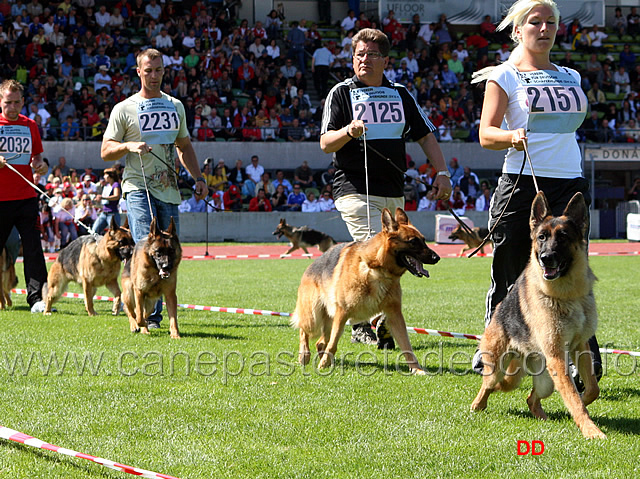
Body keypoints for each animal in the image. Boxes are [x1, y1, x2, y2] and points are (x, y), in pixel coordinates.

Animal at [292, 208, 438, 374]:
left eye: (424, 240)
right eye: (413, 241)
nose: (437, 257)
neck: (377, 269)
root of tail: (311, 265)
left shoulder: (395, 315)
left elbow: (406, 345)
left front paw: (417, 369)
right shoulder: (342, 312)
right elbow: (333, 343)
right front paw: (323, 364)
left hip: (329, 320)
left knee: (321, 342)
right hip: (313, 316)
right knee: (304, 330)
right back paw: (304, 354)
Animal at [470, 193, 604, 440]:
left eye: (563, 237)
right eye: (541, 237)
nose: (545, 258)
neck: (567, 294)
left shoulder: (579, 347)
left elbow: (590, 389)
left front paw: (583, 406)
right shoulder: (557, 355)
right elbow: (574, 398)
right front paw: (590, 429)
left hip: (546, 381)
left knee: (530, 397)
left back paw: (542, 416)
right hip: (499, 367)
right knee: (489, 385)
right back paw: (478, 405)